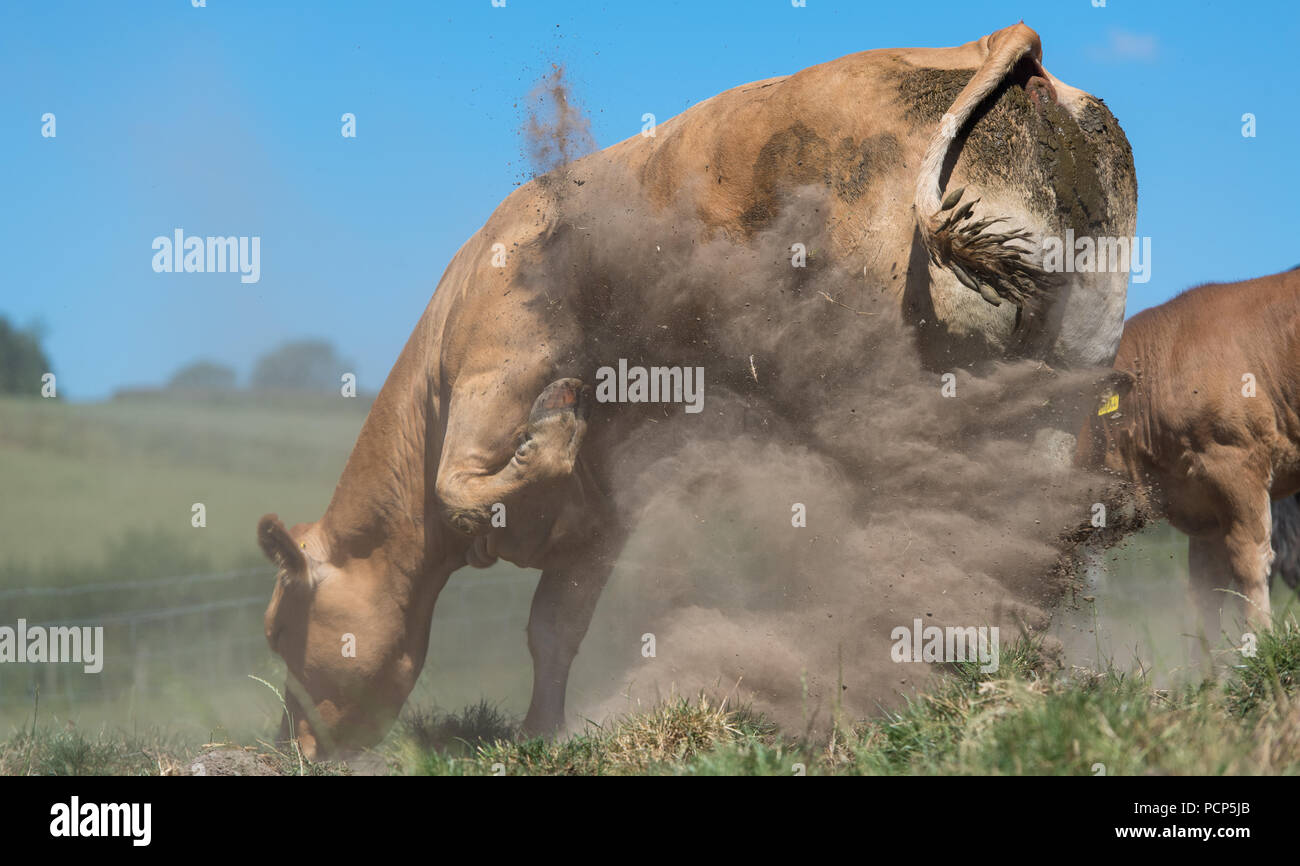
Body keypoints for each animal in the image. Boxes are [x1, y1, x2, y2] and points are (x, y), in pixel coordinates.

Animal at [258, 21, 1133, 754]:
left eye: (277, 630)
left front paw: (558, 425)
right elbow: (553, 630)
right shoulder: (597, 524)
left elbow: (468, 488)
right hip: (1055, 383)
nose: (294, 745)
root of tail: (1001, 48)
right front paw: (544, 733)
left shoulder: (494, 377)